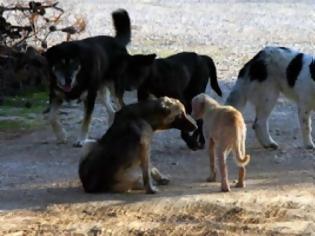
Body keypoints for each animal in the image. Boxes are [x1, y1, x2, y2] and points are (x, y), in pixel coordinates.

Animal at [43, 9, 157, 148]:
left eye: (74, 64)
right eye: (59, 64)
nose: (68, 80)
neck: (79, 76)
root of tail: (117, 41)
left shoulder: (89, 97)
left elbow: (86, 120)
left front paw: (81, 139)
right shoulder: (55, 95)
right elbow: (51, 117)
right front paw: (61, 136)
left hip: (114, 89)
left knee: (121, 107)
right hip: (101, 90)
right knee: (112, 112)